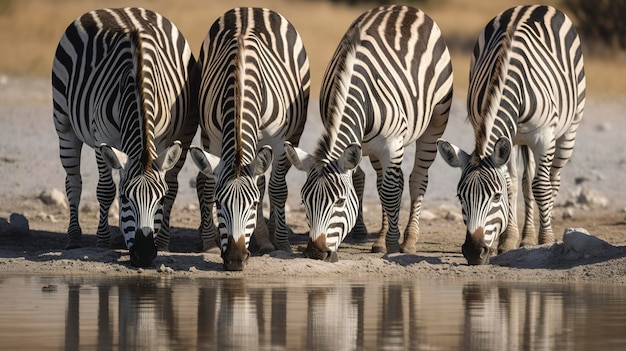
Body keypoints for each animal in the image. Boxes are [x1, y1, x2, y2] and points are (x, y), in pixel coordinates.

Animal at [52, 7, 197, 266]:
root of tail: (121, 8)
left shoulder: (161, 139)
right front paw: (102, 240)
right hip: (64, 124)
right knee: (73, 182)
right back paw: (74, 237)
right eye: (127, 199)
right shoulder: (102, 138)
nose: (144, 254)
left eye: (160, 200)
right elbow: (106, 190)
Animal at [188, 7, 310, 272]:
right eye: (219, 204)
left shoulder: (278, 142)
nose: (235, 259)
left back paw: (270, 234)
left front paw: (282, 243)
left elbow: (277, 189)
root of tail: (249, 9)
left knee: (269, 183)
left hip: (293, 134)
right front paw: (209, 243)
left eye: (252, 205)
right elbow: (208, 184)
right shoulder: (215, 138)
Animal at [286, 5, 450, 262]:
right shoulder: (358, 144)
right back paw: (380, 238)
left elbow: (391, 192)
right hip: (373, 149)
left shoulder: (392, 145)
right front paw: (373, 236)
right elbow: (367, 183)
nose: (315, 252)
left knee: (416, 179)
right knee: (383, 182)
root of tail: (405, 7)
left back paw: (409, 239)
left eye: (340, 201)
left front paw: (393, 244)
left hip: (435, 121)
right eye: (304, 201)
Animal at [434, 5, 584, 266]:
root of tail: (533, 6)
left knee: (552, 179)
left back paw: (543, 233)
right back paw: (526, 237)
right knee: (525, 180)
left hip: (568, 130)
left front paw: (546, 240)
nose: (474, 252)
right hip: (519, 141)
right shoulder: (502, 137)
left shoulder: (544, 137)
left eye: (495, 197)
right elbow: (512, 184)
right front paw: (509, 240)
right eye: (460, 196)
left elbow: (541, 187)